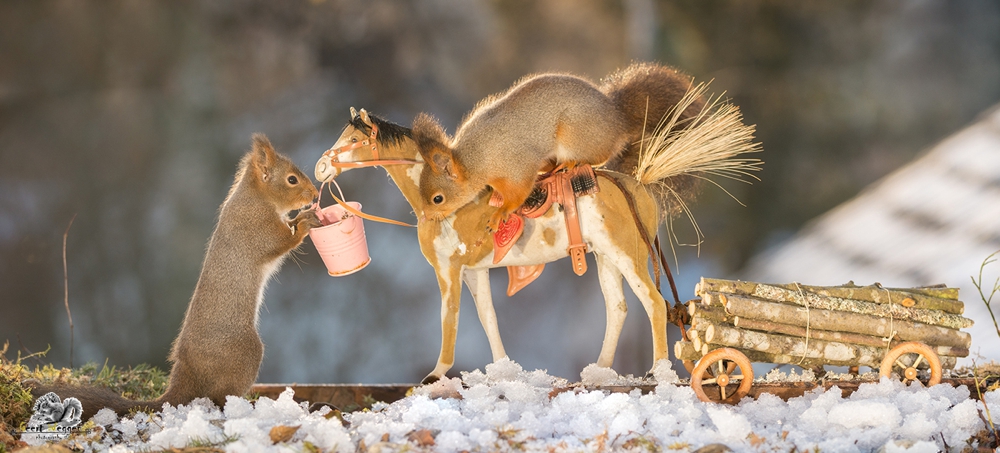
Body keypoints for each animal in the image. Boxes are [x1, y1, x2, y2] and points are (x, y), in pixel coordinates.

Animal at [27, 133, 318, 416]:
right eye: (291, 179)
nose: (315, 195)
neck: (255, 197)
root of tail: (187, 372)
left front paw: (304, 216)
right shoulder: (257, 227)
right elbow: (281, 242)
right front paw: (305, 222)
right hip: (246, 352)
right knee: (220, 397)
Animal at [410, 62, 700, 231]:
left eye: (437, 198)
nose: (425, 218)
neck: (475, 158)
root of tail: (617, 118)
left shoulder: (515, 165)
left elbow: (519, 192)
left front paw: (502, 211)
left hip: (574, 134)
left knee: (599, 156)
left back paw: (571, 163)